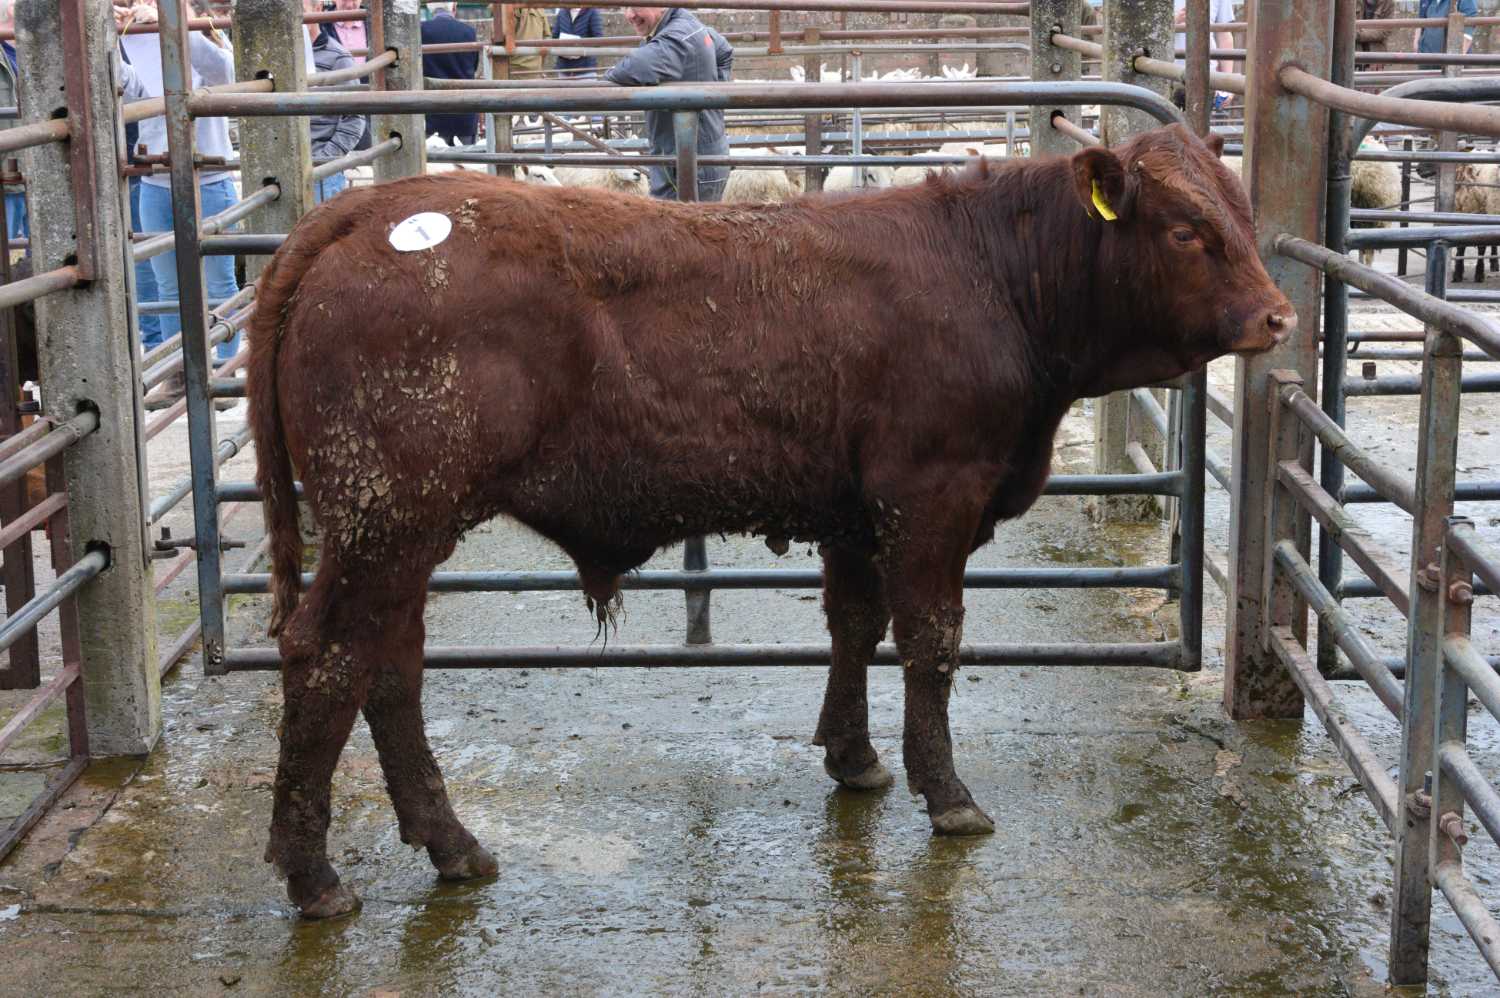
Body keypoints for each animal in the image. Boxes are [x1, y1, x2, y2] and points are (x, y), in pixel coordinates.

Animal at [247, 123, 1293, 918]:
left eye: (1245, 212)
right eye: (1186, 230)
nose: (1279, 317)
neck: (991, 277)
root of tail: (363, 211)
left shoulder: (856, 513)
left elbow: (855, 626)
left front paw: (854, 757)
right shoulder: (931, 496)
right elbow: (931, 642)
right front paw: (945, 791)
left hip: (397, 531)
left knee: (390, 665)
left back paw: (451, 844)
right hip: (388, 517)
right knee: (329, 660)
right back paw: (314, 875)